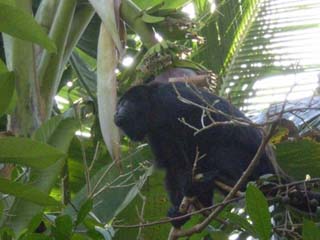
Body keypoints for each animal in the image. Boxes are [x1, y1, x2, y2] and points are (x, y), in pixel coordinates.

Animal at [114, 82, 276, 227]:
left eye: (123, 104)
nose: (115, 113)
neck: (154, 108)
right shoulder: (155, 132)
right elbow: (174, 164)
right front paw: (180, 212)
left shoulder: (170, 100)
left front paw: (192, 186)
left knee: (219, 148)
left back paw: (231, 182)